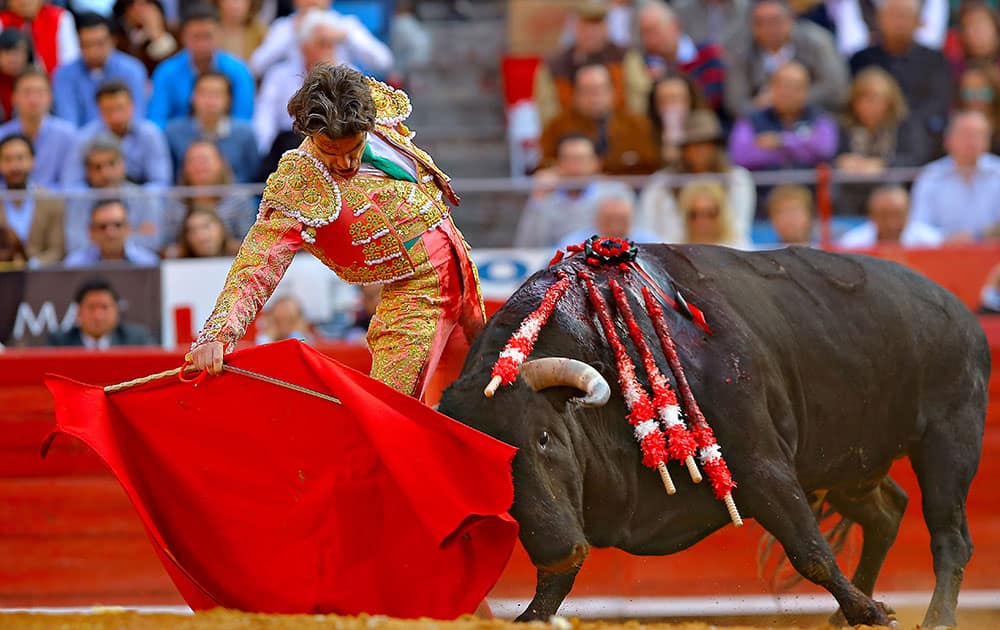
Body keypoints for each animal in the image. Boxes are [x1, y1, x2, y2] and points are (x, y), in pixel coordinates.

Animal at [442, 244, 988, 628]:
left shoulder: (761, 463)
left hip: (949, 439)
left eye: (543, 438)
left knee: (950, 537)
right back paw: (843, 615)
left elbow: (810, 551)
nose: (561, 550)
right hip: (846, 465)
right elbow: (551, 593)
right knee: (889, 513)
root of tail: (960, 312)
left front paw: (872, 612)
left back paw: (936, 619)